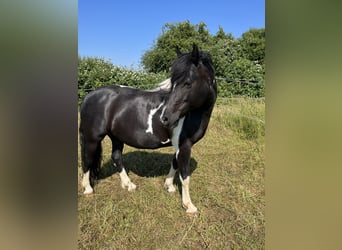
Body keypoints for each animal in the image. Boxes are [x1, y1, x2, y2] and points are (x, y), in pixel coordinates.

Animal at [79, 43, 216, 213]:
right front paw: (189, 206)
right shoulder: (185, 145)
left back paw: (129, 185)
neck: (192, 114)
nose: (165, 118)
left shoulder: (179, 145)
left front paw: (169, 186)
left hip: (116, 137)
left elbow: (174, 163)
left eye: (188, 83)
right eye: (174, 83)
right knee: (87, 160)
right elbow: (184, 175)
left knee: (116, 157)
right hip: (92, 138)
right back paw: (88, 189)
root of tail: (88, 96)